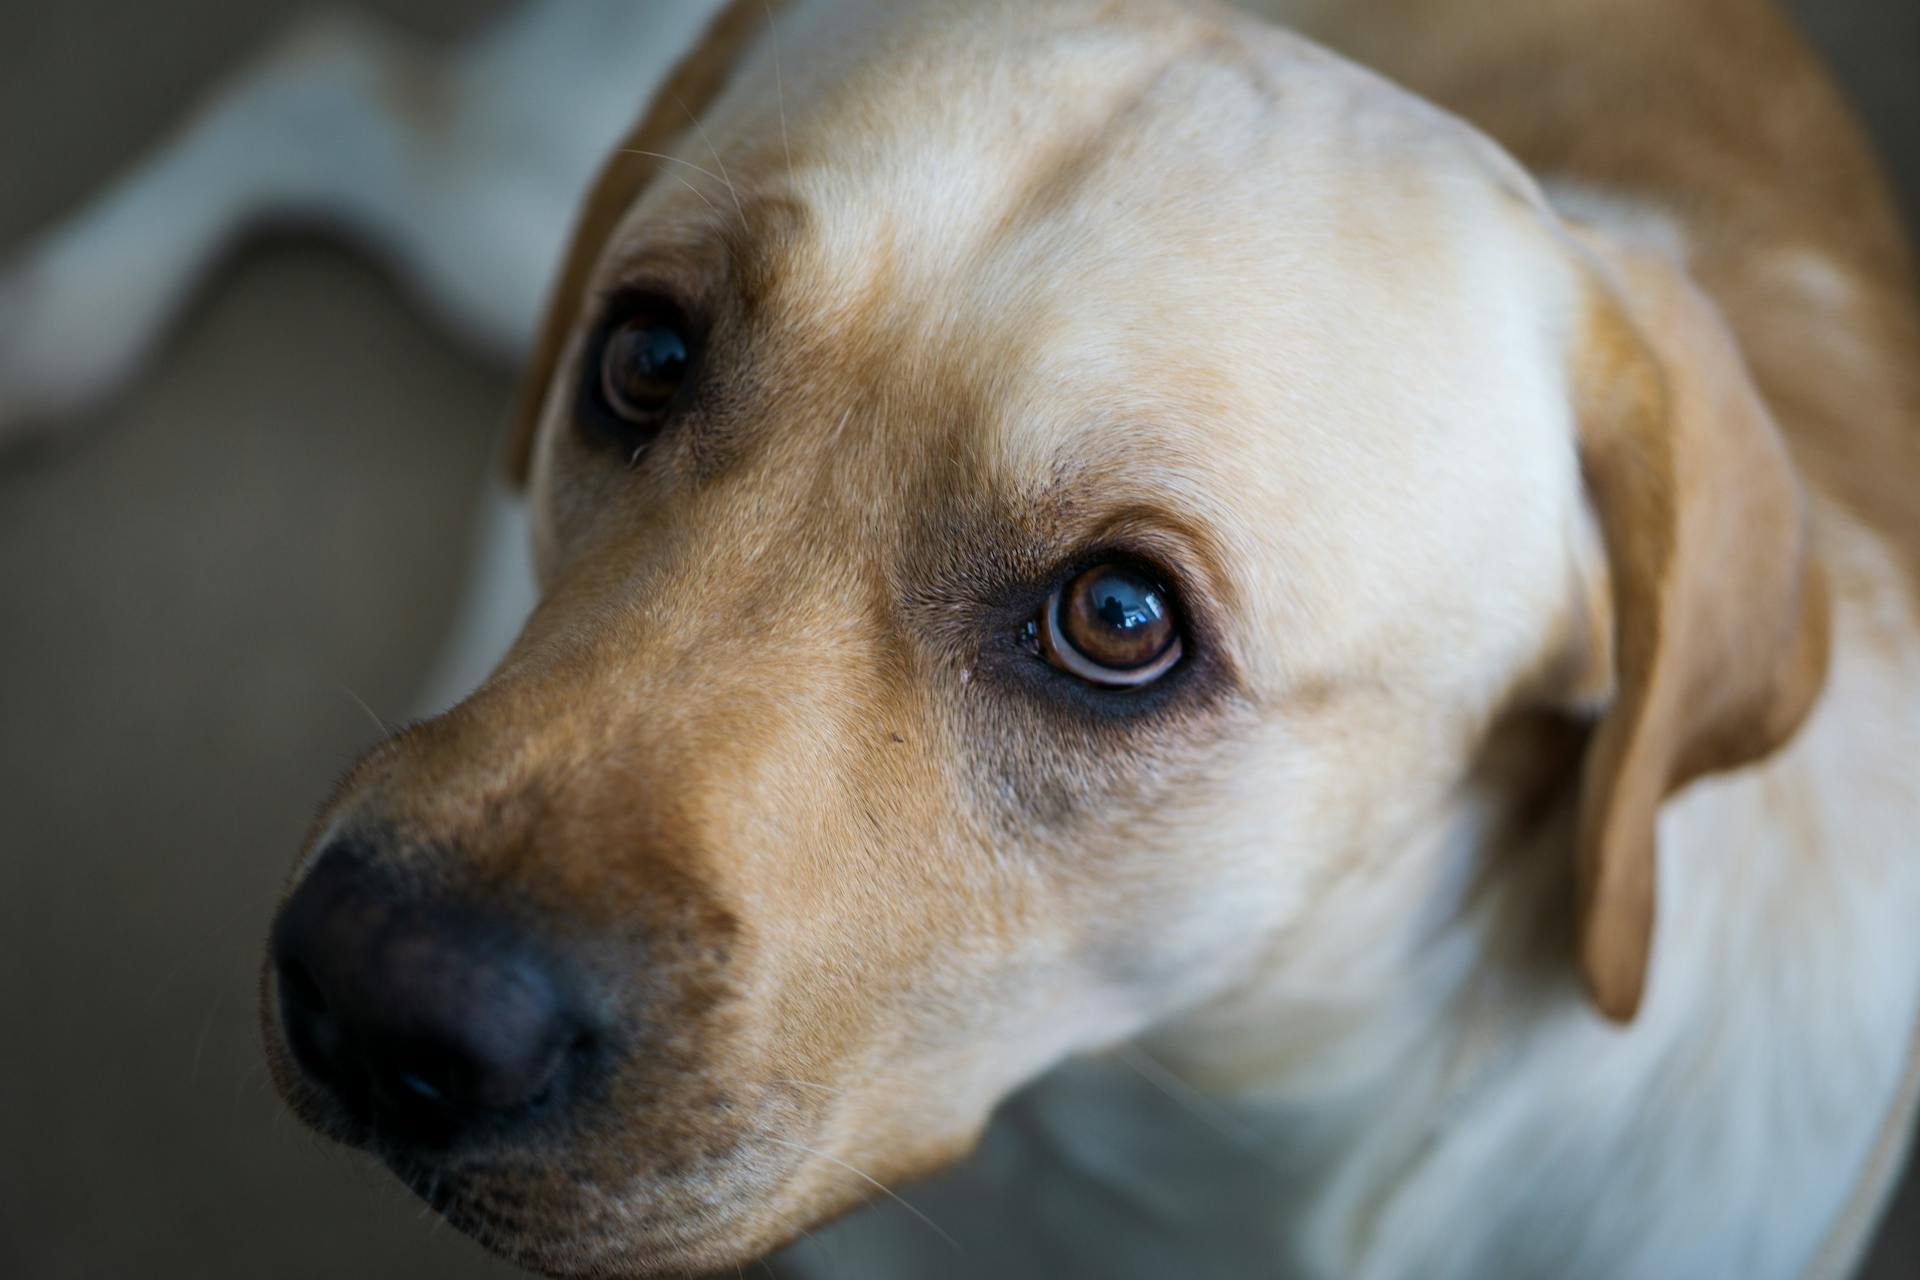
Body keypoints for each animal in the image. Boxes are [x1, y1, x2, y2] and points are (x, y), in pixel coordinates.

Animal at [7, 2, 1912, 1280]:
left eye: (1120, 620)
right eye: (644, 358)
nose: (369, 988)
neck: (1131, 1162)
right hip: (517, 192)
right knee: (326, 80)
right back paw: (58, 320)